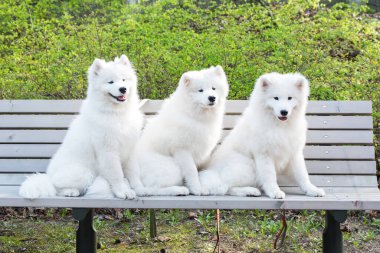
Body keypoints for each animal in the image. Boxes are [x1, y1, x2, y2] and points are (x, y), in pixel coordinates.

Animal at [18, 55, 142, 200]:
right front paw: (123, 191)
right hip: (85, 173)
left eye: (123, 79)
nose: (123, 89)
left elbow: (133, 172)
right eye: (110, 82)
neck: (117, 113)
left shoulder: (130, 148)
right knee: (56, 187)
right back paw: (70, 191)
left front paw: (139, 188)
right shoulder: (108, 151)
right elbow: (117, 175)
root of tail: (48, 176)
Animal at [127, 65, 229, 196]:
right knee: (152, 189)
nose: (212, 98)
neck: (194, 116)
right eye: (200, 90)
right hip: (171, 167)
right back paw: (178, 190)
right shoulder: (182, 150)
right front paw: (197, 189)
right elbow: (192, 171)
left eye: (213, 88)